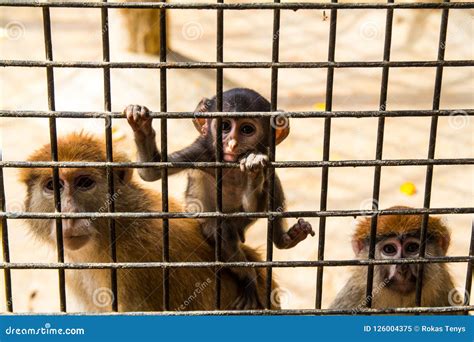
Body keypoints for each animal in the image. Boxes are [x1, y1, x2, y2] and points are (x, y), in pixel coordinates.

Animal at [124, 88, 314, 310]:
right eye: (224, 126)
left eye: (247, 129)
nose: (231, 143)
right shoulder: (201, 152)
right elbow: (151, 172)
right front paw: (141, 126)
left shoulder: (265, 159)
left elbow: (257, 199)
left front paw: (253, 168)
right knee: (221, 231)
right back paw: (249, 277)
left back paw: (284, 240)